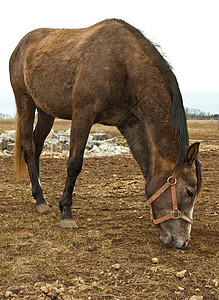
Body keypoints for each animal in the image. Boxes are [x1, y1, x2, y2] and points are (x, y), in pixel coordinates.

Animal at [10, 19, 202, 248]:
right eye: (190, 191)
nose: (183, 241)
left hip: (46, 110)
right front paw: (66, 213)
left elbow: (147, 168)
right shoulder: (83, 115)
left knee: (38, 146)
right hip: (25, 101)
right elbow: (74, 165)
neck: (123, 64)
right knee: (30, 149)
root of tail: (21, 46)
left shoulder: (130, 125)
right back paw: (39, 199)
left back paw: (38, 195)